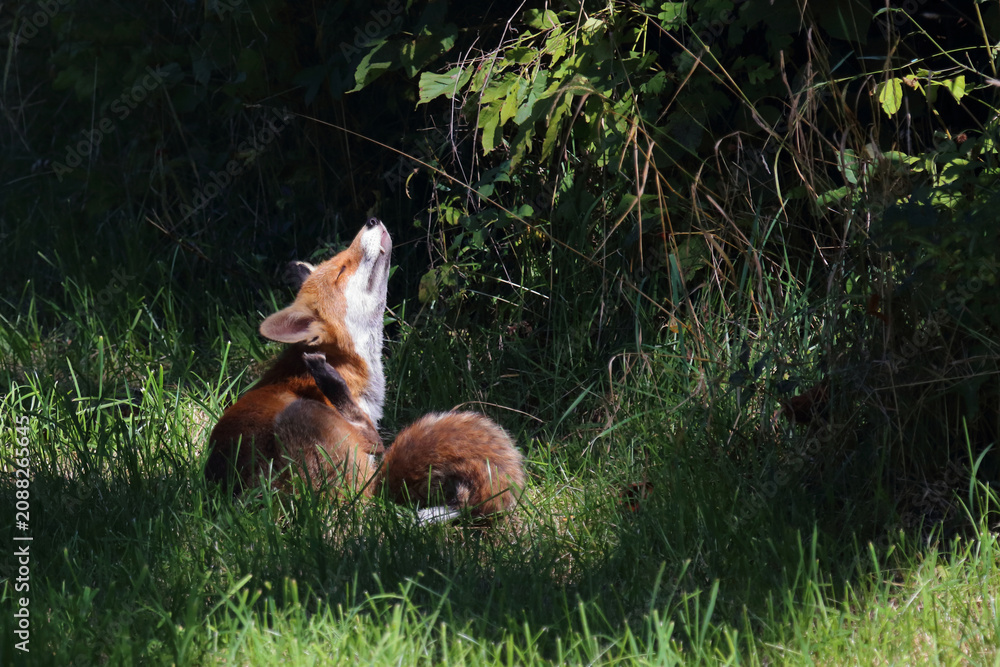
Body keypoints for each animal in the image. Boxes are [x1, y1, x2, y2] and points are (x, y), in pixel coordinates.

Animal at [204, 218, 525, 517]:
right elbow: (376, 441)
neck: (351, 366)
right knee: (373, 448)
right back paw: (330, 384)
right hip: (307, 422)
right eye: (341, 271)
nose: (372, 220)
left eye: (340, 261)